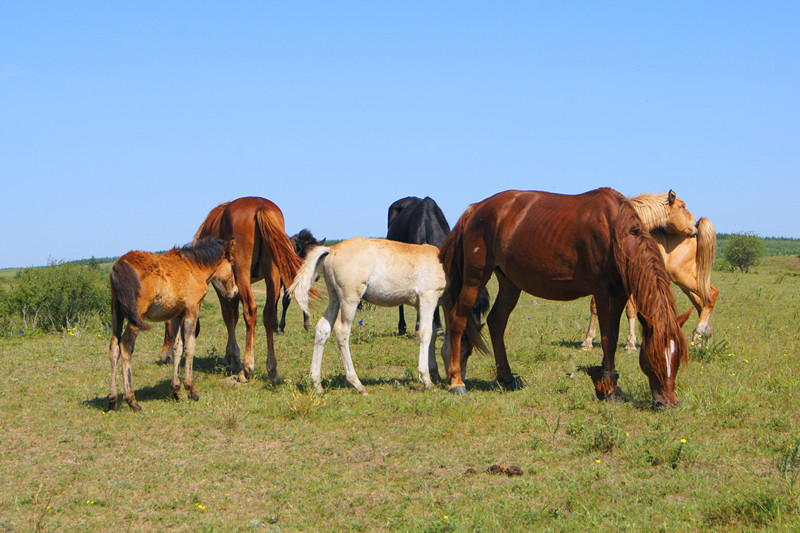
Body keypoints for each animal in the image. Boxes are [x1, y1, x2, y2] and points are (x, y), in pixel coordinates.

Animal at [106, 239, 238, 410]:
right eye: (232, 262)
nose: (235, 291)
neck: (195, 267)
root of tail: (118, 265)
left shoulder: (177, 316)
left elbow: (177, 348)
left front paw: (176, 390)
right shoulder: (192, 310)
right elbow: (189, 347)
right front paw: (191, 390)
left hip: (117, 312)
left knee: (114, 347)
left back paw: (112, 400)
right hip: (137, 316)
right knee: (126, 346)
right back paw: (132, 400)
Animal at [194, 195, 306, 382]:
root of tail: (259, 206)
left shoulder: (222, 286)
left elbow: (229, 316)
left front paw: (234, 357)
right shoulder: (234, 288)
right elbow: (234, 316)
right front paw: (230, 356)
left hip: (243, 272)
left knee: (250, 310)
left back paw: (247, 367)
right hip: (272, 274)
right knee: (269, 314)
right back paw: (272, 370)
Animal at [290, 239, 484, 392]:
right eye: (466, 351)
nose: (461, 379)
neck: (443, 264)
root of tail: (332, 249)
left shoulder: (421, 304)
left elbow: (434, 333)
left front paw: (434, 372)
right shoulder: (428, 297)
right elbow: (426, 333)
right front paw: (426, 379)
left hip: (335, 298)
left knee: (323, 329)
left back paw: (317, 384)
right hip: (349, 299)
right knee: (341, 331)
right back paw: (357, 383)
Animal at [440, 187, 692, 408]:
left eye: (677, 357)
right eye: (654, 356)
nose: (666, 403)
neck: (615, 230)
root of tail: (477, 208)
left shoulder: (620, 293)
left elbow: (613, 336)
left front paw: (608, 383)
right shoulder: (602, 291)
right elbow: (608, 338)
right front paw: (610, 389)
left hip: (509, 283)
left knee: (496, 322)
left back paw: (506, 377)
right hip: (476, 277)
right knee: (457, 319)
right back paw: (457, 382)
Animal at [580, 214, 720, 352]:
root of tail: (694, 229)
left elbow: (630, 310)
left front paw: (630, 344)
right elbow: (595, 307)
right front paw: (588, 341)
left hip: (683, 276)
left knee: (712, 294)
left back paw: (698, 333)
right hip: (685, 282)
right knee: (700, 303)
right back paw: (701, 339)